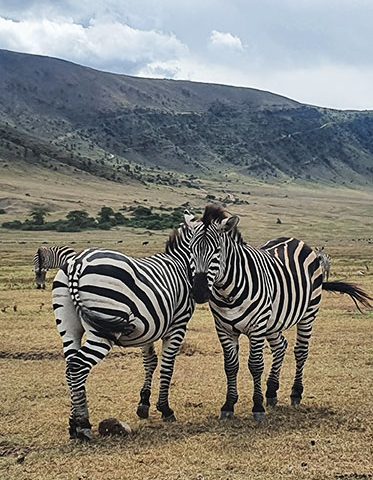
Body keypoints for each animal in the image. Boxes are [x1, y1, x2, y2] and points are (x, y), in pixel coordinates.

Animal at [53, 219, 196, 440]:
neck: (180, 263)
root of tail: (78, 263)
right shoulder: (178, 325)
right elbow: (167, 365)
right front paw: (165, 409)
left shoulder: (150, 327)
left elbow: (150, 362)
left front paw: (143, 405)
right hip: (103, 327)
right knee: (78, 366)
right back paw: (83, 425)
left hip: (68, 327)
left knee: (70, 366)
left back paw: (73, 424)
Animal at [185, 204, 370, 422]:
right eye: (190, 250)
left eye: (216, 251)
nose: (199, 292)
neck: (227, 291)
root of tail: (294, 240)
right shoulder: (223, 329)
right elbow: (230, 366)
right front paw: (229, 405)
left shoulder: (256, 327)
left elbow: (255, 365)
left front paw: (257, 407)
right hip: (274, 321)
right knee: (281, 346)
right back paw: (272, 392)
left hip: (308, 313)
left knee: (301, 351)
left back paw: (295, 393)